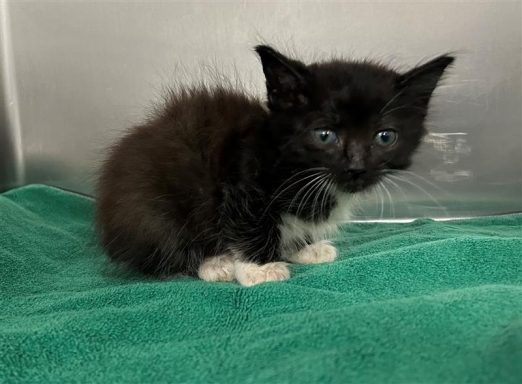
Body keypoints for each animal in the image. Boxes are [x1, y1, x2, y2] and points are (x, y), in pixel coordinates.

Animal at [96, 45, 450, 284]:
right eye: (325, 135)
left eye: (385, 137)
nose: (356, 167)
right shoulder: (243, 175)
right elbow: (250, 221)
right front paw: (259, 267)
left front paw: (305, 247)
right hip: (150, 207)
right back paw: (214, 264)